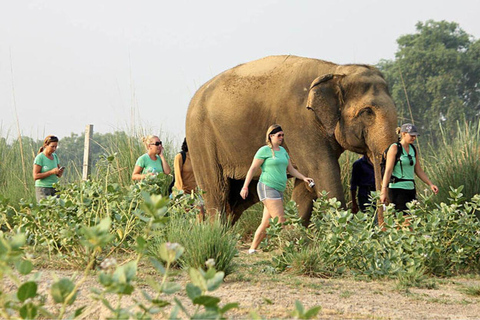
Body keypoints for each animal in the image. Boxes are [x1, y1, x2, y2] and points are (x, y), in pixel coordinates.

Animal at [184, 55, 398, 225]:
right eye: (367, 112)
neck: (335, 70)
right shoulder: (299, 122)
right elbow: (322, 171)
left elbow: (307, 182)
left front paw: (292, 235)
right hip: (200, 138)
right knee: (217, 192)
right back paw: (216, 232)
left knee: (240, 196)